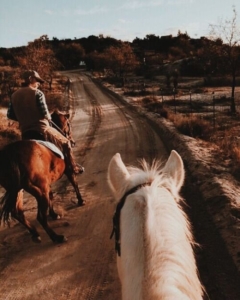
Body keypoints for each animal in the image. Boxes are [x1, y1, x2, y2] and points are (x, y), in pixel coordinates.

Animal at [0, 110, 84, 244]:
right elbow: (74, 183)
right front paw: (81, 201)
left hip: (17, 190)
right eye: (68, 124)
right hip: (39, 189)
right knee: (40, 217)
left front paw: (54, 214)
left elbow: (51, 195)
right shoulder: (68, 171)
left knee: (17, 212)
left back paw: (35, 233)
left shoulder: (46, 183)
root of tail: (12, 154)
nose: (73, 142)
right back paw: (57, 237)